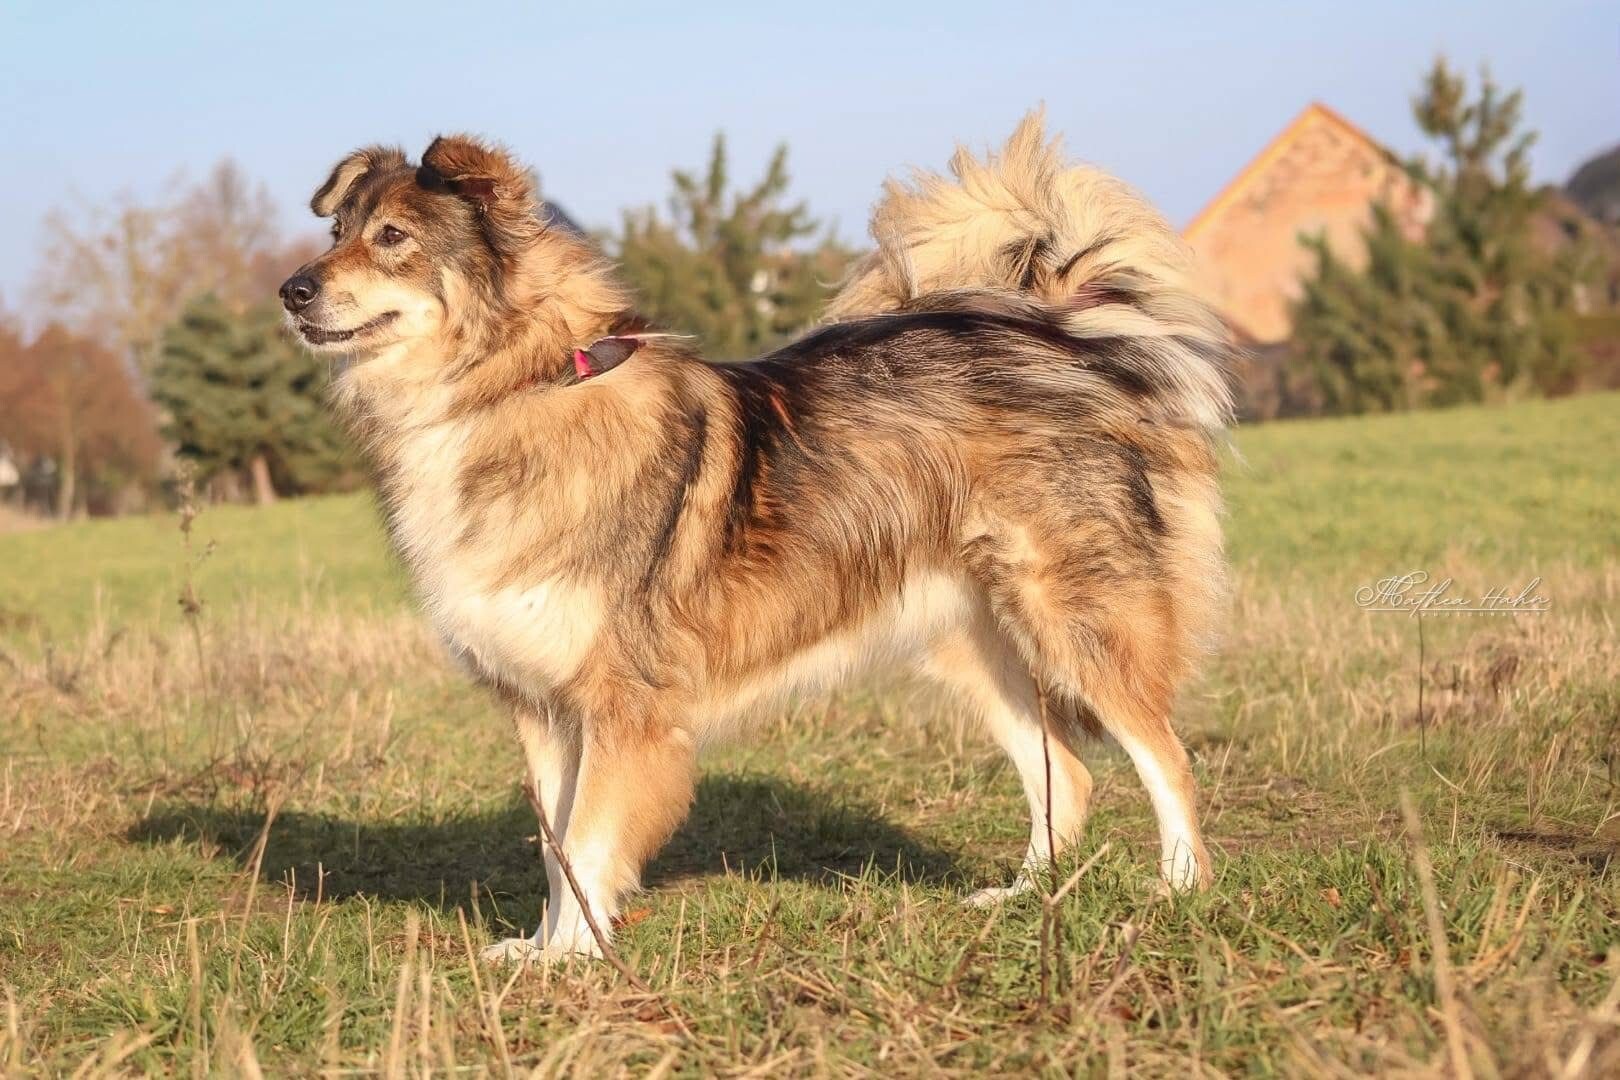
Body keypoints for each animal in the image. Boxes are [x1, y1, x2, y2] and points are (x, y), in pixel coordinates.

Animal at [281, 112, 1233, 963]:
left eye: (394, 237)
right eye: (336, 232)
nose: (292, 290)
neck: (517, 387)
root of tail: (1064, 339)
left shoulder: (622, 702)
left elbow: (586, 839)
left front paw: (576, 962)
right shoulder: (545, 707)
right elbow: (556, 850)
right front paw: (545, 949)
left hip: (1075, 619)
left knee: (1166, 755)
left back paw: (1180, 889)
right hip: (972, 642)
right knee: (1064, 774)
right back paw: (1023, 898)